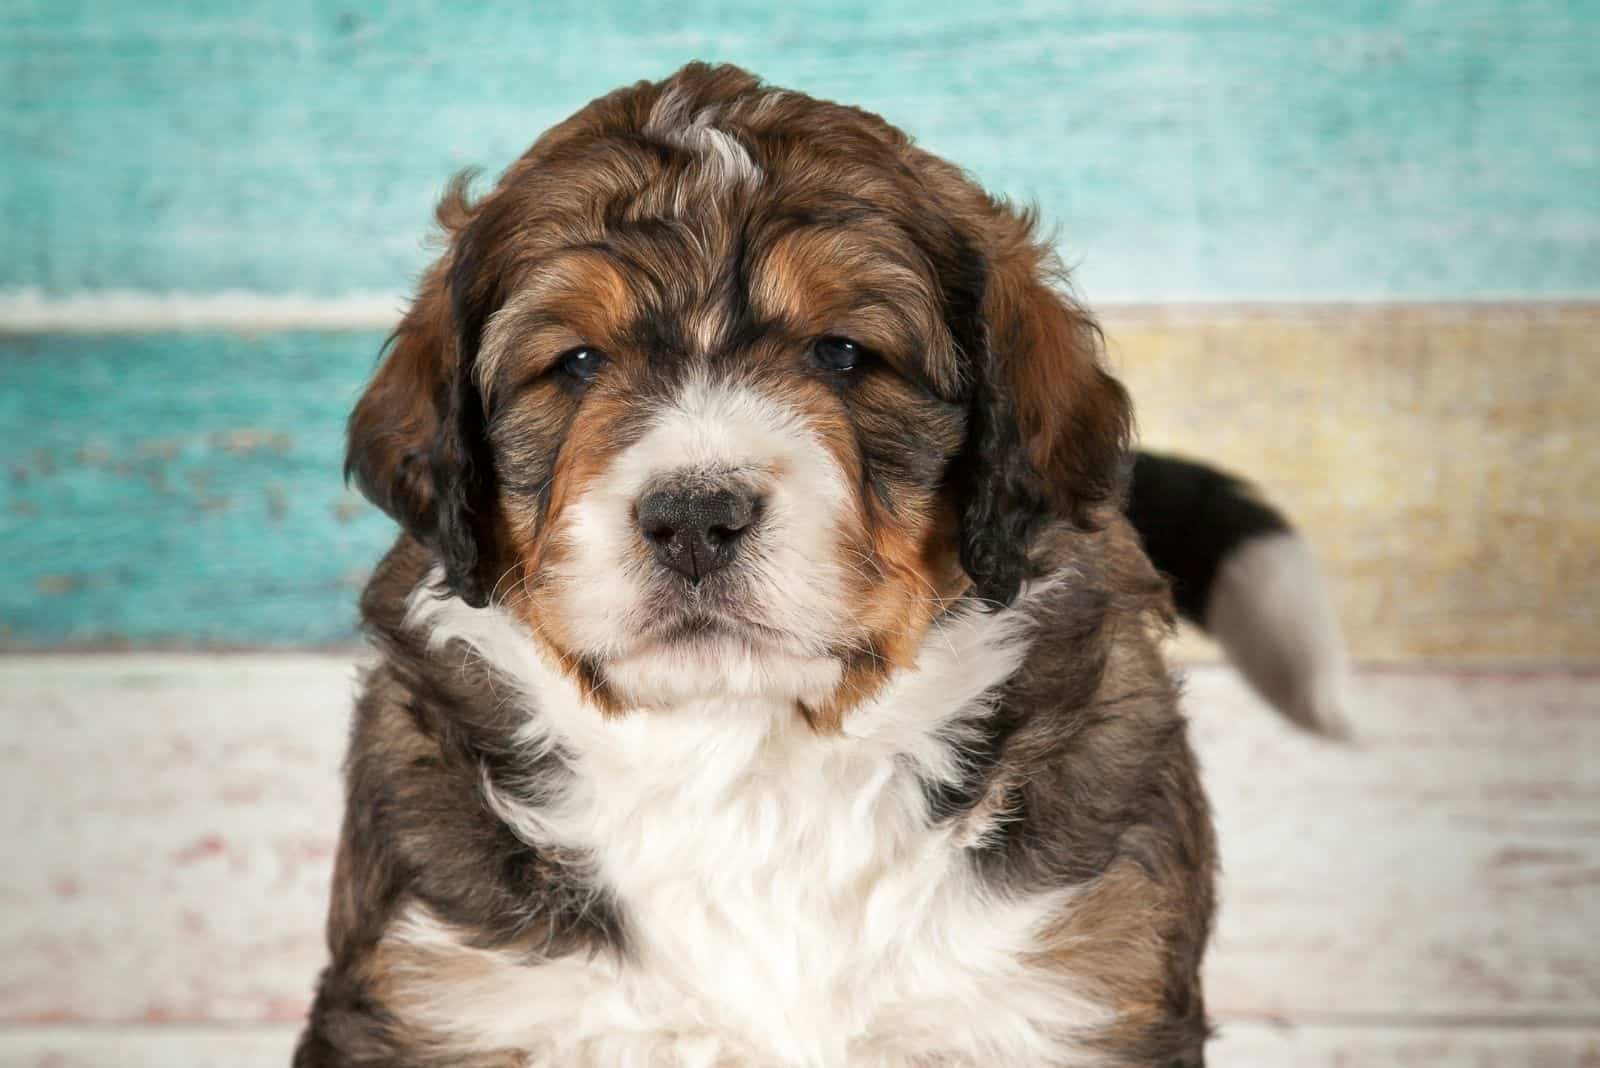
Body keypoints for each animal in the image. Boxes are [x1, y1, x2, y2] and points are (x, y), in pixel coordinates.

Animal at [294, 64, 1344, 1068]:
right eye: (578, 363)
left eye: (843, 353)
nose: (694, 517)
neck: (748, 765)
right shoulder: (443, 995)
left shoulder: (1074, 988)